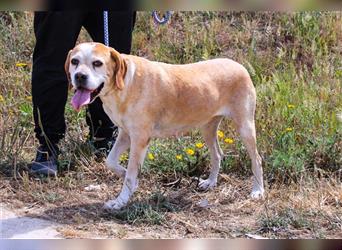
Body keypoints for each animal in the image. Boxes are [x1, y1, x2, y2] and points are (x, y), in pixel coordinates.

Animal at [65, 42, 264, 210]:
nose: (79, 76)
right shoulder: (125, 134)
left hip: (245, 127)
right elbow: (111, 162)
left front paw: (120, 202)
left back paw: (258, 191)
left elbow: (130, 175)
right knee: (217, 154)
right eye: (75, 61)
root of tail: (239, 65)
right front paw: (128, 180)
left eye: (97, 63)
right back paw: (211, 182)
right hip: (207, 128)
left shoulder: (140, 140)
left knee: (257, 159)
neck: (125, 84)